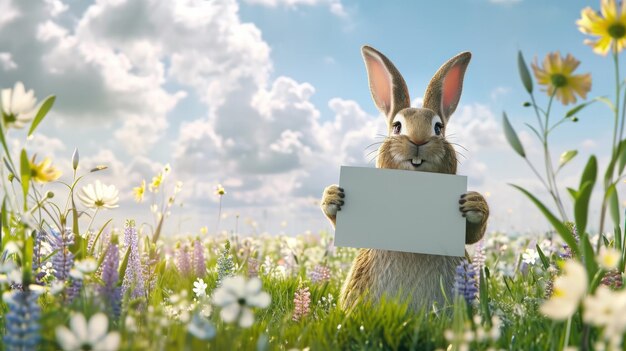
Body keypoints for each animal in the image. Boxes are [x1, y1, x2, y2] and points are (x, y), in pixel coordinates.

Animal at [322, 45, 488, 312]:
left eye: (438, 128)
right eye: (397, 126)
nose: (418, 140)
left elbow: (473, 233)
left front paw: (473, 202)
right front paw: (333, 196)